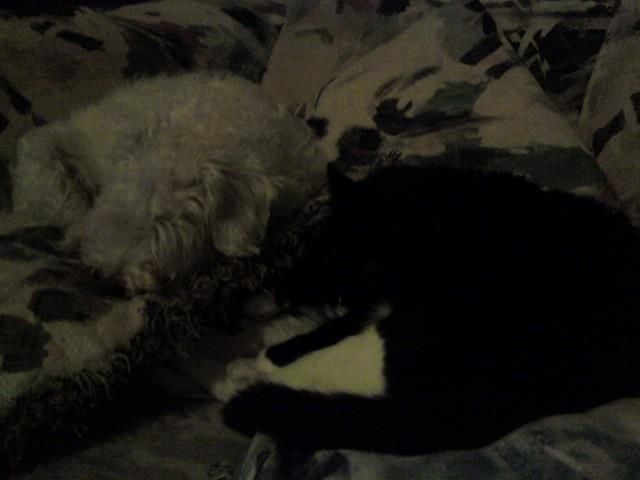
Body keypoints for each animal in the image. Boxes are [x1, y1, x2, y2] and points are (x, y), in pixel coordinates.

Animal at [215, 163, 640, 454]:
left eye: (373, 266)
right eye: (342, 254)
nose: (340, 301)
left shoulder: (388, 298)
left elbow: (319, 335)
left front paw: (266, 352)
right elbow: (304, 278)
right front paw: (260, 299)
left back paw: (239, 378)